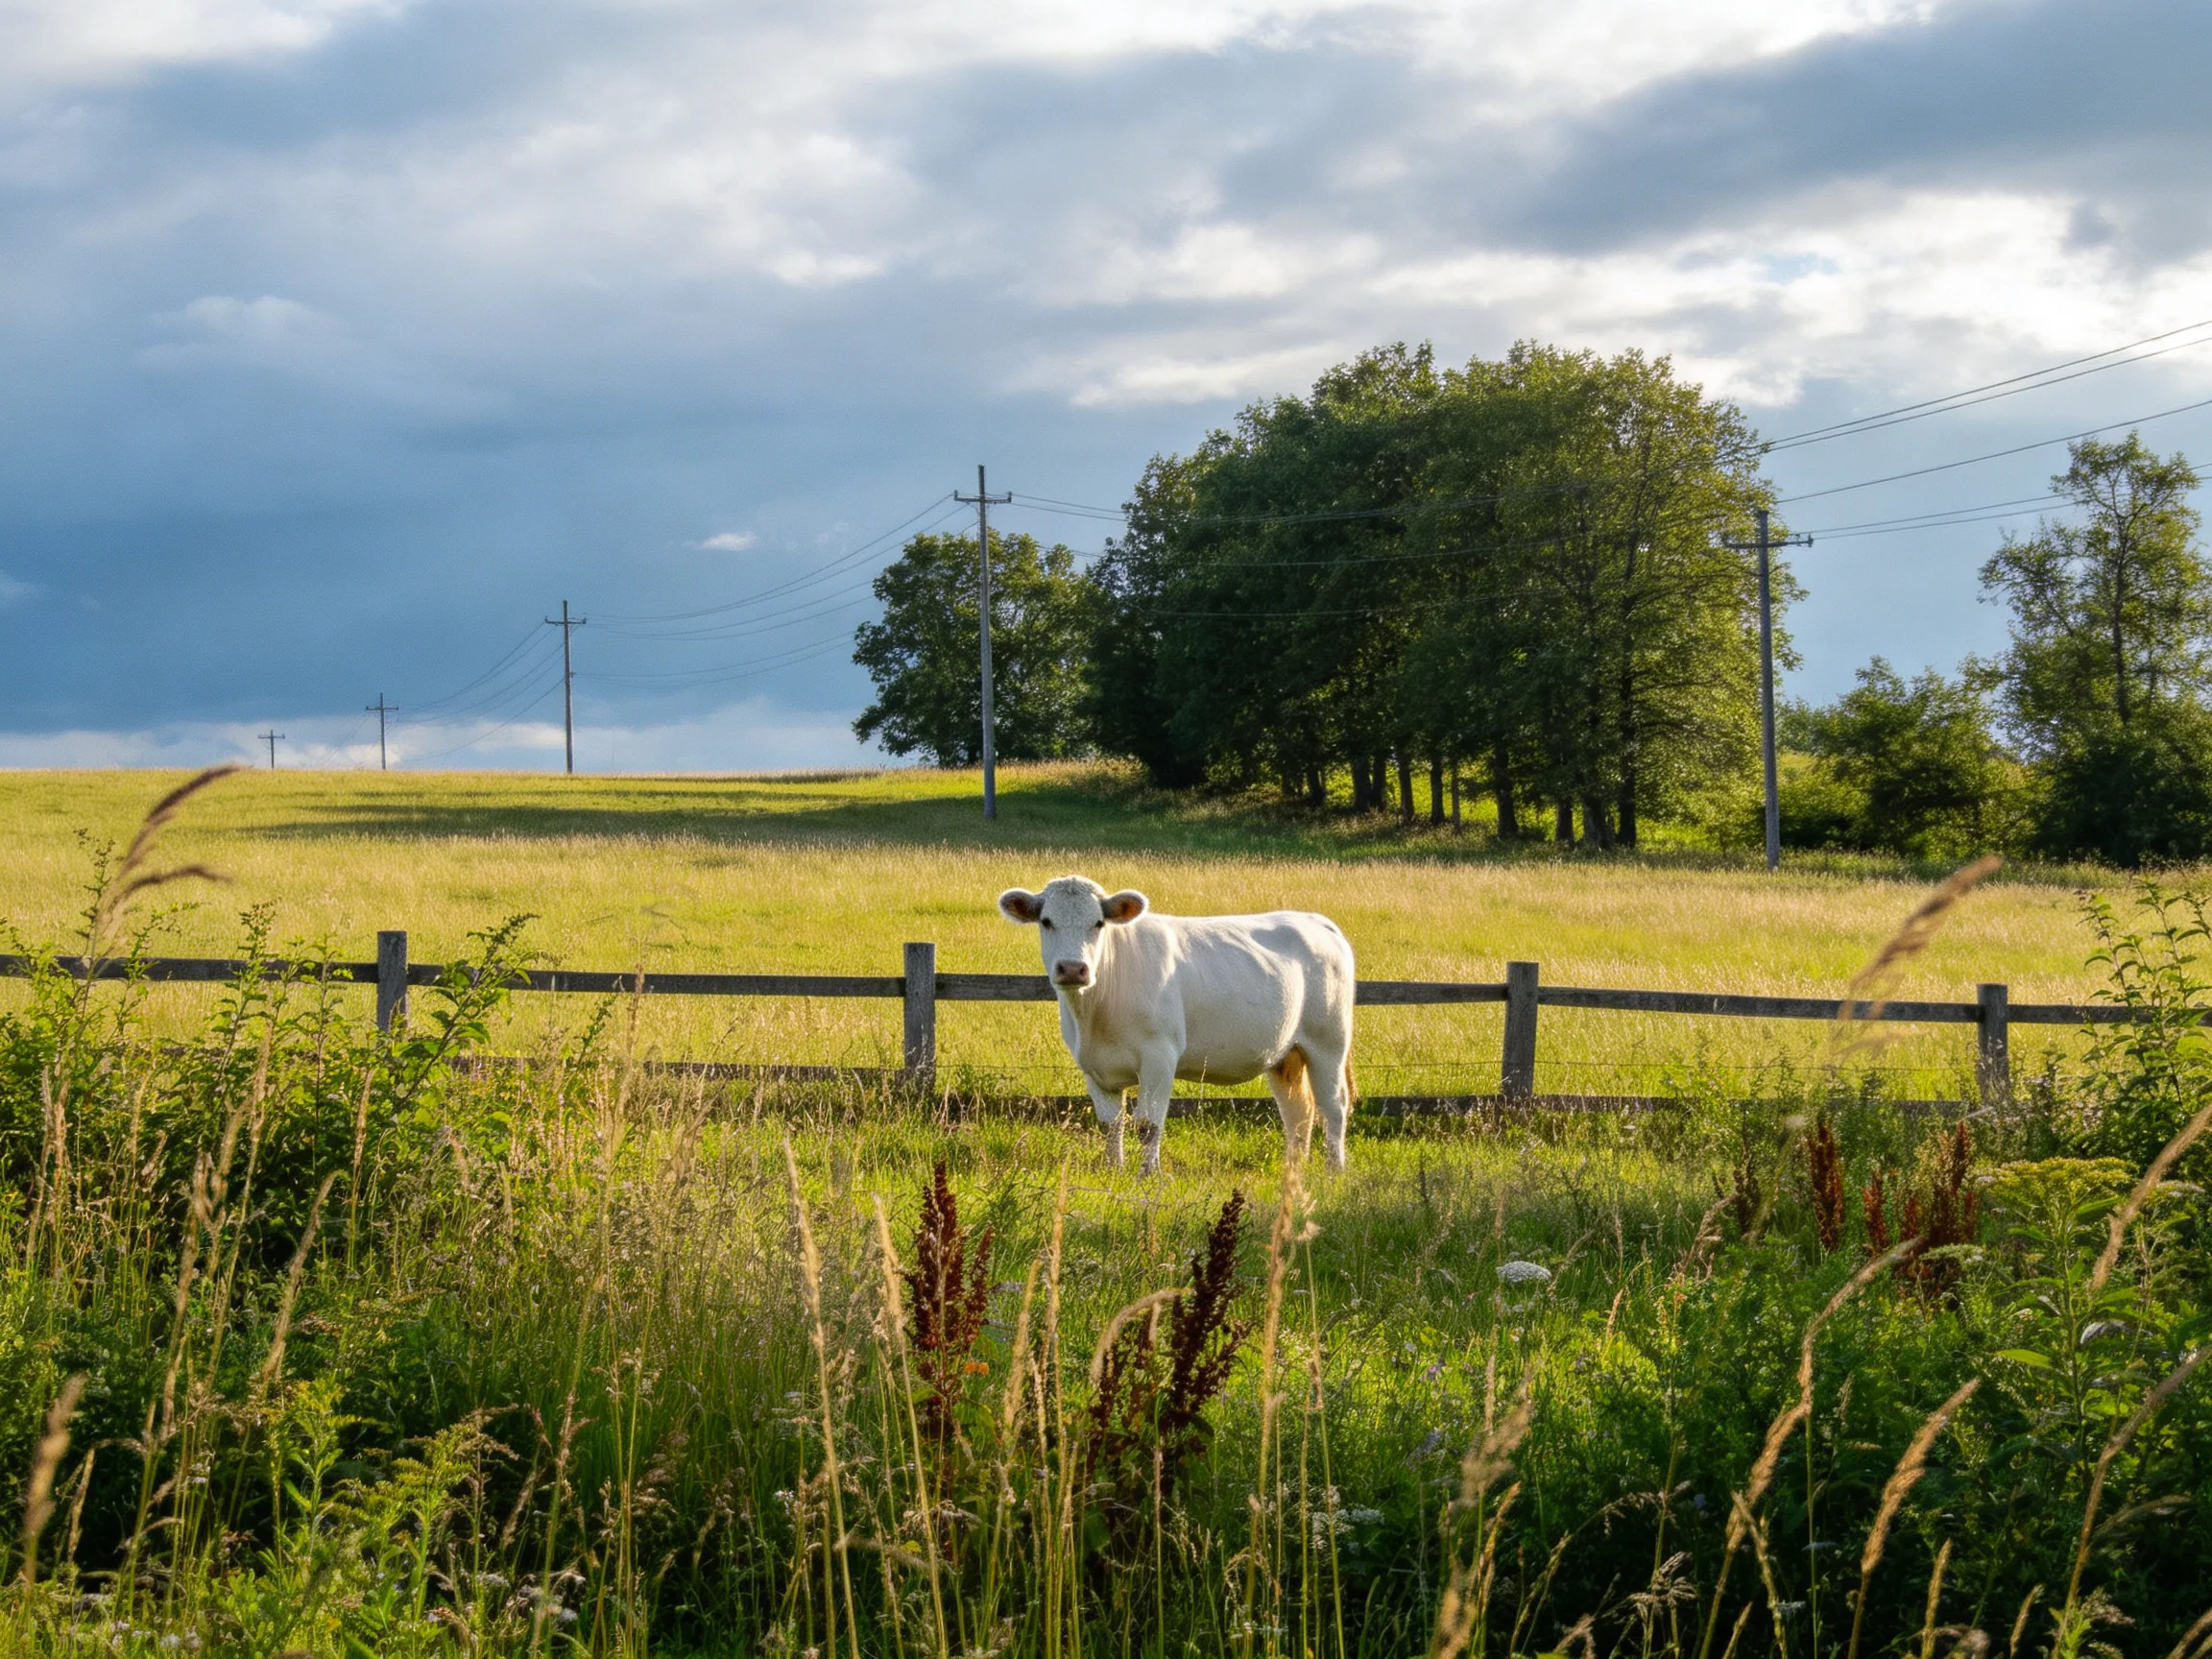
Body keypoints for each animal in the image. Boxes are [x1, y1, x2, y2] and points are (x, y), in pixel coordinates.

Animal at [996, 874, 1356, 1176]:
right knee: (1298, 1111)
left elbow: (1148, 1124)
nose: (1073, 968)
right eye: (1046, 921)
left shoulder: (1160, 1056)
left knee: (1334, 1105)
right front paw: (1114, 1170)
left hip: (1328, 1042)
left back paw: (1334, 1170)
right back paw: (1293, 1169)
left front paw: (1147, 1174)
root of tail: (1315, 920)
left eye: (1098, 923)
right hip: (1285, 1053)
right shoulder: (1092, 1066)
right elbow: (1111, 1124)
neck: (1094, 1017)